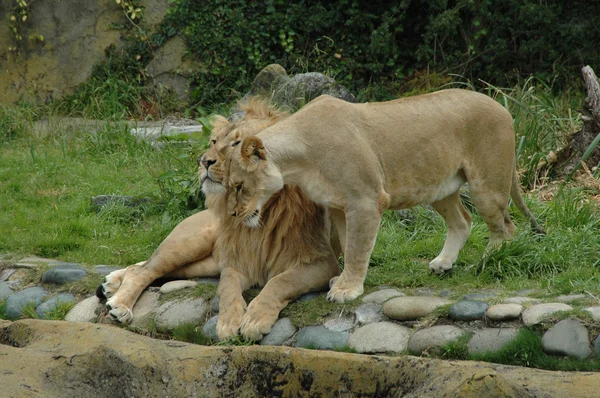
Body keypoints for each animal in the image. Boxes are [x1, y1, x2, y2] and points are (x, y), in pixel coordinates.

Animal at [224, 88, 544, 304]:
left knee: (505, 227)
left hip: (486, 185)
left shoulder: (364, 200)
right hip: (440, 187)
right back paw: (443, 263)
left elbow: (357, 248)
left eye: (239, 186)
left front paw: (347, 289)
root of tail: (504, 109)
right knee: (463, 221)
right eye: (227, 186)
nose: (233, 214)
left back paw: (486, 262)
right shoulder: (339, 205)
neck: (299, 160)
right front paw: (342, 281)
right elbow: (348, 244)